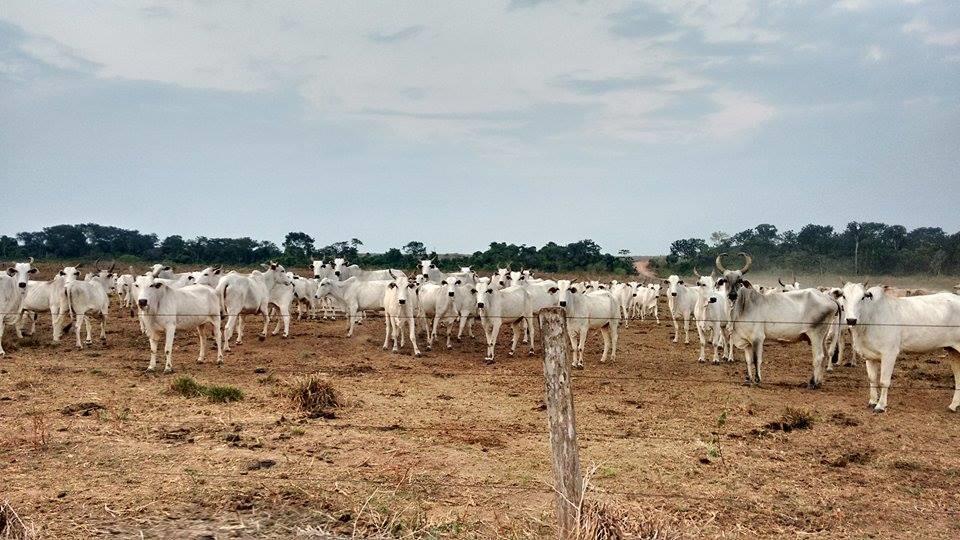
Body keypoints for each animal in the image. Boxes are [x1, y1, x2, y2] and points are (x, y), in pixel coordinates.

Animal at [836, 282, 960, 414]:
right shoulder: (870, 356)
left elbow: (884, 381)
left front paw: (880, 406)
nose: (851, 320)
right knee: (958, 376)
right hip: (953, 350)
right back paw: (953, 405)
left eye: (863, 297)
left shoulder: (889, 353)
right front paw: (872, 401)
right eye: (844, 296)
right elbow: (872, 379)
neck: (871, 318)